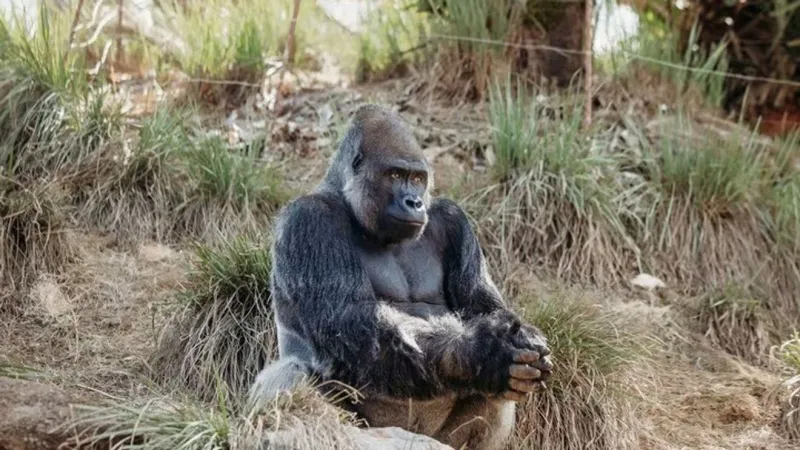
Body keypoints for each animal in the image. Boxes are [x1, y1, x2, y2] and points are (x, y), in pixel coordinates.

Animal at [249, 104, 552, 450]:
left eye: (418, 179)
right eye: (395, 175)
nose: (415, 202)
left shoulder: (454, 220)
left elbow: (483, 306)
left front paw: (506, 340)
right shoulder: (310, 221)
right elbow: (348, 318)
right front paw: (482, 351)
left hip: (437, 440)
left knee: (497, 396)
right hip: (367, 432)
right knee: (294, 373)